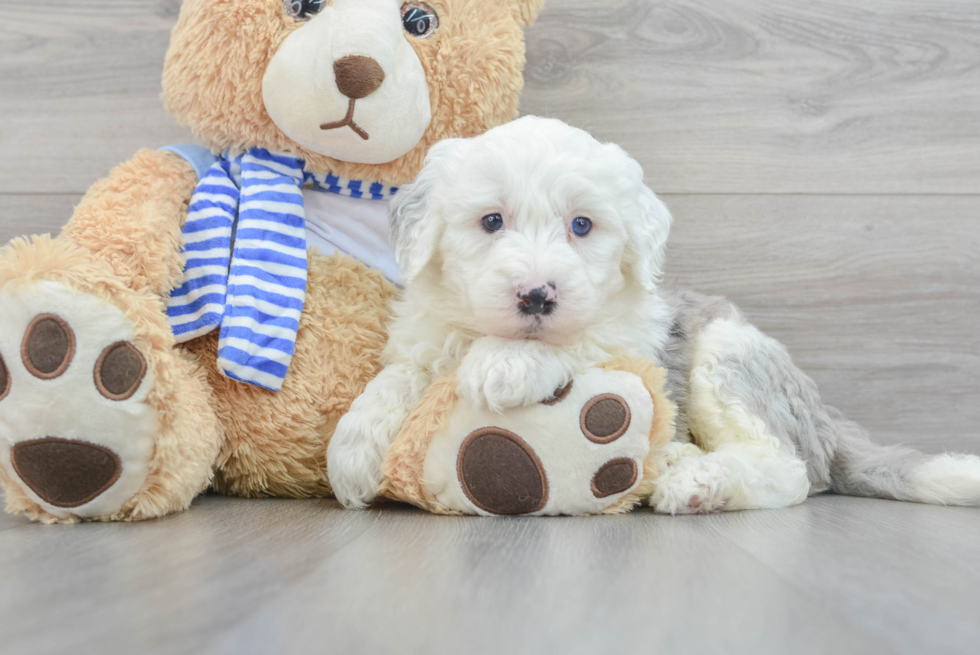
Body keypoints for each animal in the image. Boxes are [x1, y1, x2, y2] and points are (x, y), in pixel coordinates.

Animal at [328, 116, 980, 512]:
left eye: (582, 225)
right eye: (491, 221)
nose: (537, 295)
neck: (479, 329)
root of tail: (823, 420)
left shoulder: (628, 334)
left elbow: (579, 341)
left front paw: (507, 363)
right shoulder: (423, 337)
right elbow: (396, 378)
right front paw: (352, 455)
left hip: (728, 354)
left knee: (790, 471)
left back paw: (697, 479)